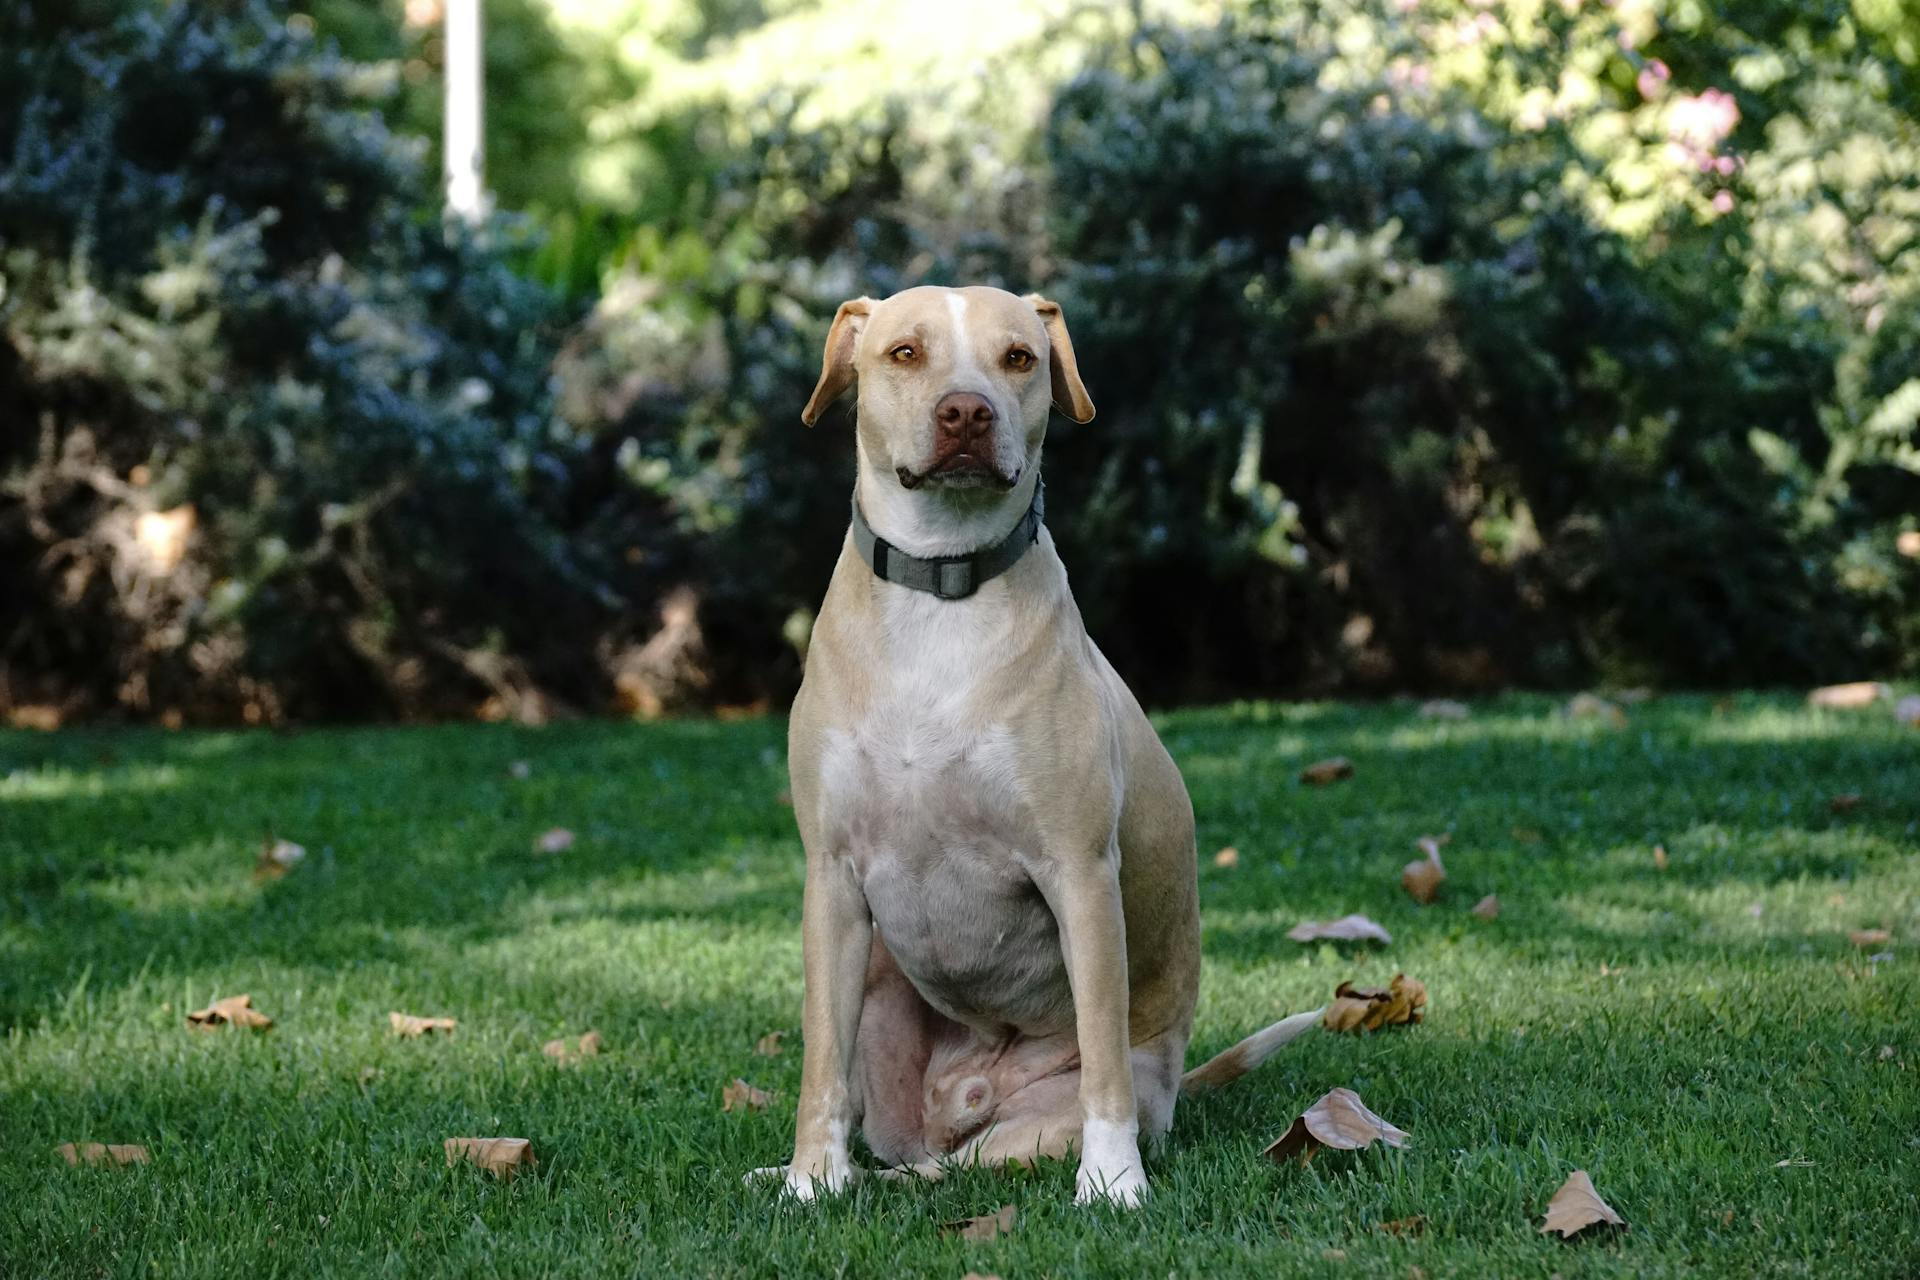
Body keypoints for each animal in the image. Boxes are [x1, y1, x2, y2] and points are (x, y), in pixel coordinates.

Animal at [752, 285, 1320, 1205]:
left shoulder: (1080, 874)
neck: (942, 590)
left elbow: (1102, 1059)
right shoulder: (832, 881)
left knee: (951, 1167)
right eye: (905, 353)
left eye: (1019, 358)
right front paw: (810, 1181)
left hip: (1032, 1124)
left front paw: (1115, 1183)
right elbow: (820, 1067)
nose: (966, 412)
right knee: (892, 1146)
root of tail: (962, 1102)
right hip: (877, 992)